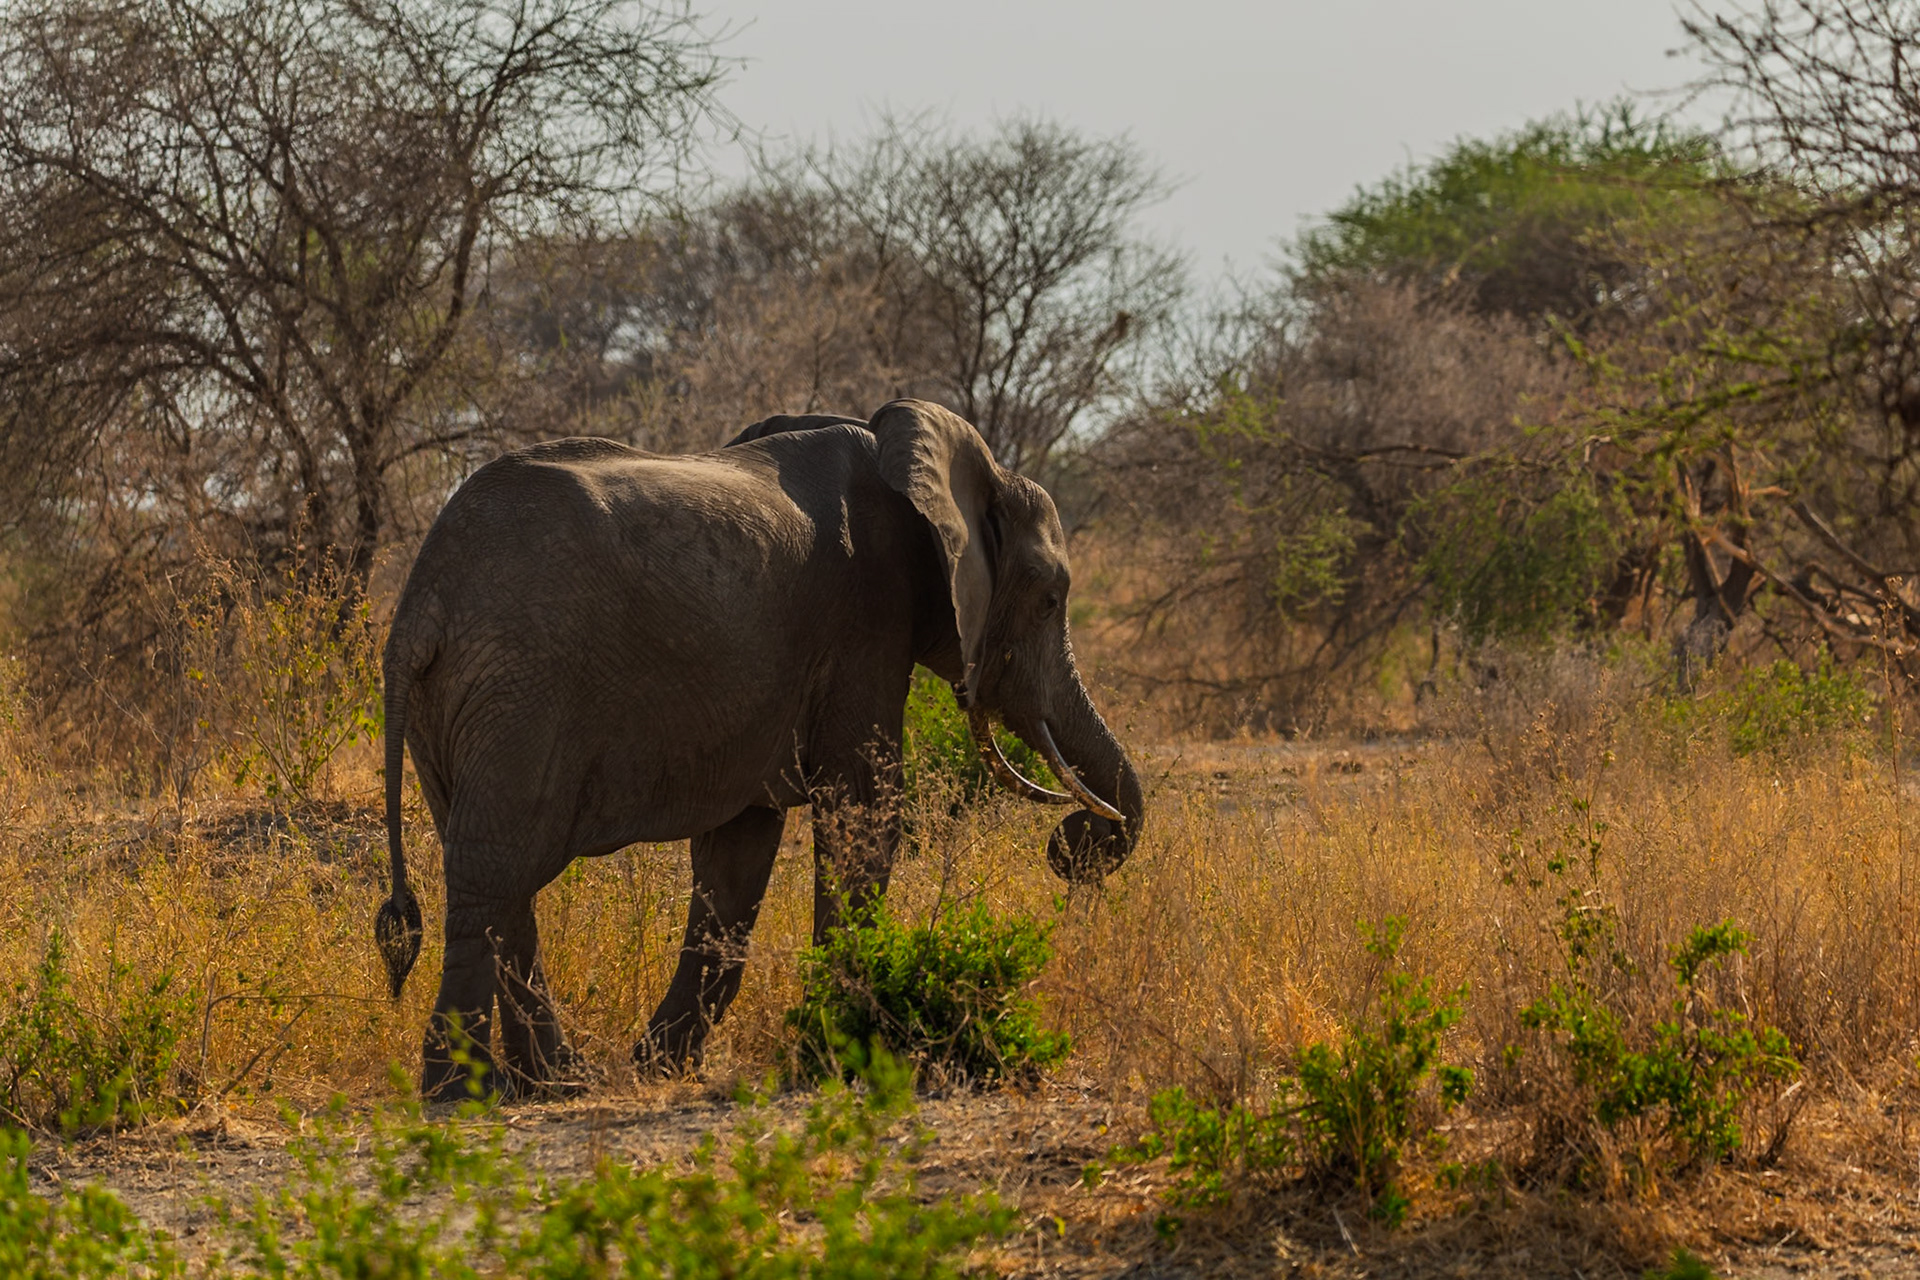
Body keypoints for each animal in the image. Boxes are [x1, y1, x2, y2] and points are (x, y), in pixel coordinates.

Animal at [373, 399, 1144, 1099]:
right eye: (1051, 600)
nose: (1074, 843)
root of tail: (422, 601)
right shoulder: (866, 620)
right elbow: (864, 809)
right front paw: (835, 1051)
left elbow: (737, 854)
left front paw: (661, 1068)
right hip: (522, 686)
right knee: (491, 871)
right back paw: (461, 1091)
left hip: (461, 705)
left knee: (498, 877)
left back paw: (556, 1083)